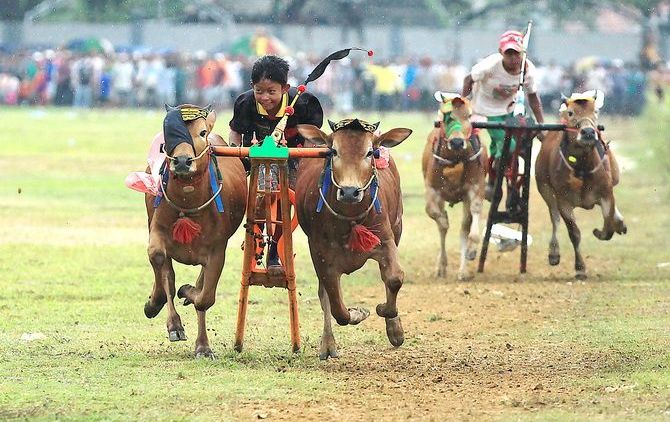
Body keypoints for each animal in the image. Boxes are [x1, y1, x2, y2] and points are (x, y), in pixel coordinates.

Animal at [144, 104, 247, 356]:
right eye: (169, 130)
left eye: (201, 132)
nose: (182, 161)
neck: (188, 203)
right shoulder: (157, 232)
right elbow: (162, 269)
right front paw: (170, 320)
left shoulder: (216, 251)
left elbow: (204, 296)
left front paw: (187, 292)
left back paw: (202, 344)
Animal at [296, 118, 412, 360]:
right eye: (334, 151)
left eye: (370, 152)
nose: (350, 191)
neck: (349, 218)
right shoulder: (321, 254)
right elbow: (337, 306)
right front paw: (359, 312)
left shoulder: (385, 240)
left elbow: (394, 278)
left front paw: (388, 318)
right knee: (325, 296)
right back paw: (328, 345)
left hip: (397, 227)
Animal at [422, 94, 486, 282]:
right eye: (446, 116)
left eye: (469, 115)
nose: (457, 142)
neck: (455, 158)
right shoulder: (433, 191)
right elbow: (441, 222)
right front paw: (441, 265)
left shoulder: (475, 187)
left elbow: (471, 222)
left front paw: (471, 250)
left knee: (465, 225)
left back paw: (463, 269)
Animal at [540, 90, 628, 278]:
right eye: (571, 113)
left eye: (595, 111)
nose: (588, 132)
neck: (581, 166)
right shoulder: (563, 200)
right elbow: (574, 232)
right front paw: (580, 267)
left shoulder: (606, 193)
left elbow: (608, 223)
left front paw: (602, 230)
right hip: (545, 189)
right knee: (554, 218)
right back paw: (554, 253)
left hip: (615, 175)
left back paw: (620, 222)